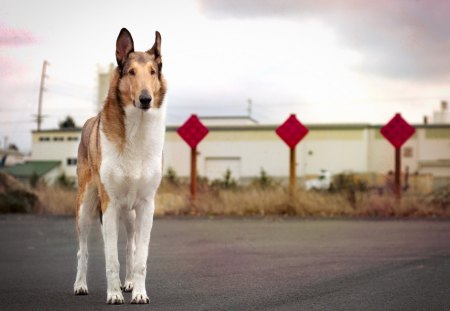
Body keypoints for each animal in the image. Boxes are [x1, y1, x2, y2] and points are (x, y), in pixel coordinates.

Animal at [74, 27, 167, 304]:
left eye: (152, 72)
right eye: (131, 72)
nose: (146, 99)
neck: (136, 131)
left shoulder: (146, 206)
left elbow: (140, 258)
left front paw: (139, 293)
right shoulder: (110, 205)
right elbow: (110, 259)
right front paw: (114, 295)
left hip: (131, 214)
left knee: (129, 247)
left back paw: (129, 283)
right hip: (85, 208)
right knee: (83, 250)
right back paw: (80, 285)